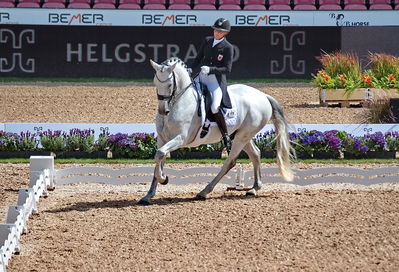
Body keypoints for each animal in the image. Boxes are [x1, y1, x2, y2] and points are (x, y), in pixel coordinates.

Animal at [139, 57, 296, 205]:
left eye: (170, 85)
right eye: (155, 83)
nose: (162, 110)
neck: (180, 102)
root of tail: (263, 95)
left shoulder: (181, 138)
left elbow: (160, 154)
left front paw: (163, 178)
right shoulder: (163, 139)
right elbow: (159, 157)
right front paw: (148, 196)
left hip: (242, 137)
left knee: (231, 161)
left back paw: (204, 192)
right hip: (242, 135)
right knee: (255, 154)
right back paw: (254, 189)